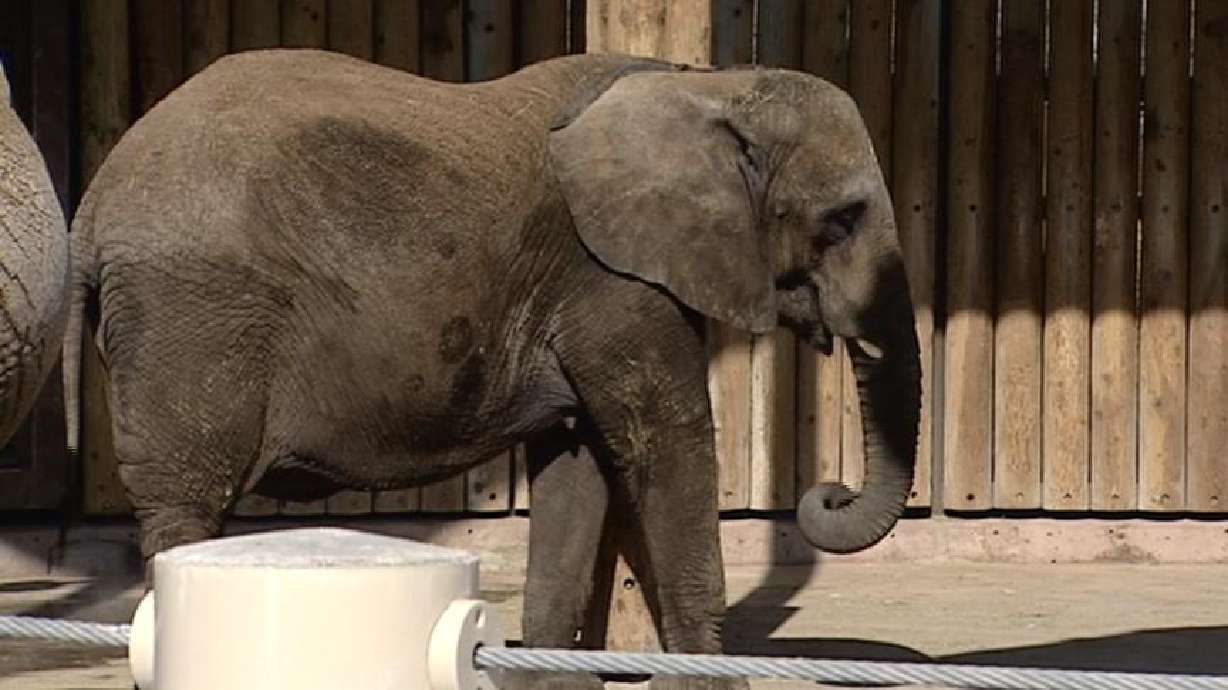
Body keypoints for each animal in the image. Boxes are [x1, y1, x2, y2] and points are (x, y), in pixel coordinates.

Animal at [64, 49, 921, 690]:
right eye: (842, 221)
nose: (829, 493)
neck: (705, 83)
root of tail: (93, 208)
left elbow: (578, 462)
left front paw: (547, 684)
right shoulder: (613, 280)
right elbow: (667, 441)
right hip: (192, 315)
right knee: (186, 508)